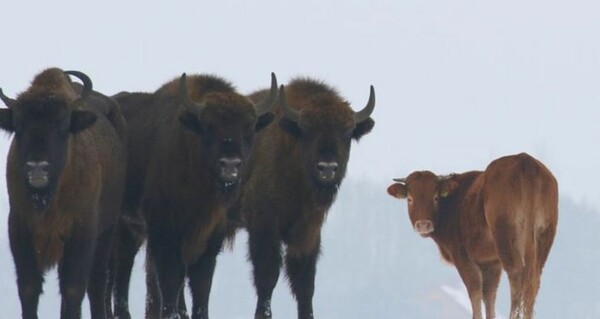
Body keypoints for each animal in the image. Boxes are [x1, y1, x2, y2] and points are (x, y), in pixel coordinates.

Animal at [0, 68, 125, 319]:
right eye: (18, 126)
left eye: (63, 125)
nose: (37, 167)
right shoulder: (19, 227)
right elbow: (29, 287)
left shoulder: (82, 231)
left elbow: (73, 288)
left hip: (107, 232)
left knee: (96, 285)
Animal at [110, 73, 278, 319]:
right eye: (209, 126)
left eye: (248, 127)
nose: (230, 165)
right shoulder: (164, 233)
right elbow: (171, 281)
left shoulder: (210, 239)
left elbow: (200, 287)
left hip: (130, 228)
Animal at [230, 77, 376, 319]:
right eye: (307, 131)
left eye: (347, 133)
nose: (327, 168)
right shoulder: (263, 225)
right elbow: (267, 277)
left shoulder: (308, 232)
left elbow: (304, 285)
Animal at [386, 152, 560, 319]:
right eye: (410, 199)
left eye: (435, 197)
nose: (423, 224)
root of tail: (525, 161)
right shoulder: (491, 262)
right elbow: (489, 295)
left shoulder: (463, 258)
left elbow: (475, 290)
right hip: (544, 236)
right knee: (534, 279)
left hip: (505, 236)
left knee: (516, 273)